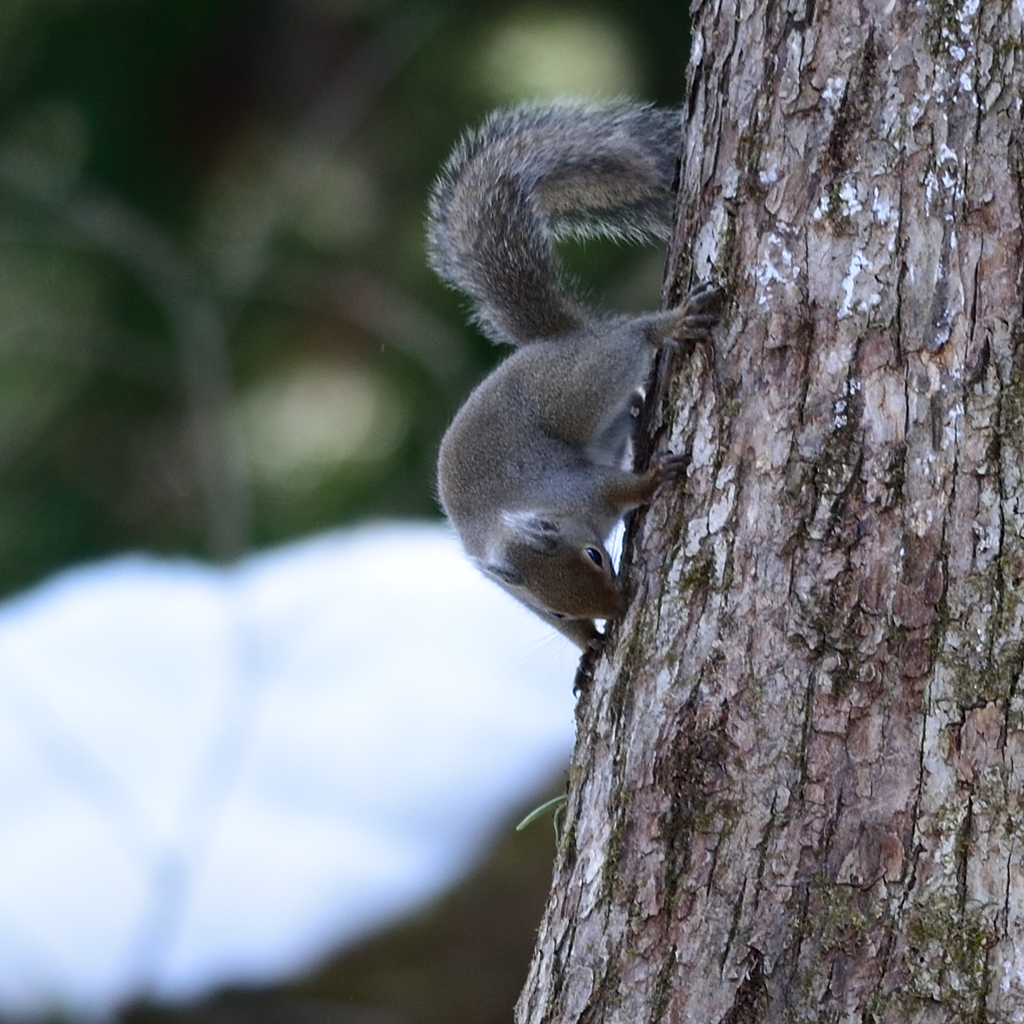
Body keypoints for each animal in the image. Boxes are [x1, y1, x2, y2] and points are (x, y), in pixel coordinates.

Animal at [423, 101, 720, 647]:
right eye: (556, 612)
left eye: (596, 556)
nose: (617, 609)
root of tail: (557, 342)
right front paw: (588, 645)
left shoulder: (578, 487)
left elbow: (621, 488)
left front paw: (651, 480)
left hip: (580, 386)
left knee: (628, 341)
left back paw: (668, 325)